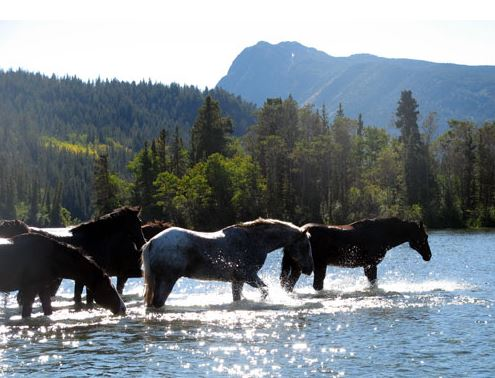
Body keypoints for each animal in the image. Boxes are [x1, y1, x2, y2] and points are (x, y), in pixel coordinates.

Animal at [143, 217, 314, 308]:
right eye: (306, 245)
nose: (309, 269)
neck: (254, 240)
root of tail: (152, 242)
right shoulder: (248, 276)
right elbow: (265, 290)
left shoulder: (237, 280)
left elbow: (237, 298)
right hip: (167, 280)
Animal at [280, 216, 432, 292]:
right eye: (424, 236)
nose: (428, 256)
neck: (385, 236)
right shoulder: (370, 264)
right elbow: (373, 283)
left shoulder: (367, 265)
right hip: (313, 264)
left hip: (301, 266)